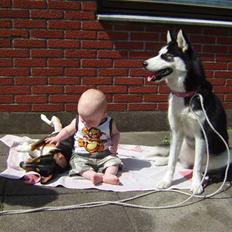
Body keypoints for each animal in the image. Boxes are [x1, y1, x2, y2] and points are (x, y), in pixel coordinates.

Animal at [143, 30, 230, 194]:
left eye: (166, 56)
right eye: (158, 54)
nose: (143, 63)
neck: (186, 95)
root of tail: (187, 163)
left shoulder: (201, 135)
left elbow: (197, 166)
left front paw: (196, 184)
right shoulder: (176, 131)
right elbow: (172, 161)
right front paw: (166, 181)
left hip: (226, 155)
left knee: (202, 166)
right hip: (181, 144)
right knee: (175, 157)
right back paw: (162, 160)